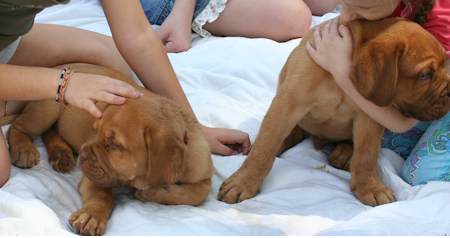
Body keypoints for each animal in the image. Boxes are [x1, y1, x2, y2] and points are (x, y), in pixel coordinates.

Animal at [7, 63, 214, 236]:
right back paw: (24, 150)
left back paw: (61, 154)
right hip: (47, 108)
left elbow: (196, 194)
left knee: (49, 132)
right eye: (95, 129)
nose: (82, 155)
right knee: (18, 126)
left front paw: (151, 193)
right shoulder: (94, 177)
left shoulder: (203, 176)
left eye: (114, 145)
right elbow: (103, 196)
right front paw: (92, 216)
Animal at [218, 17, 450, 205]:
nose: (449, 92)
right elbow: (264, 148)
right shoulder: (287, 103)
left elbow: (367, 155)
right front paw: (243, 182)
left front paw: (370, 187)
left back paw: (345, 153)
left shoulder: (369, 117)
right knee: (283, 135)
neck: (340, 77)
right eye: (425, 74)